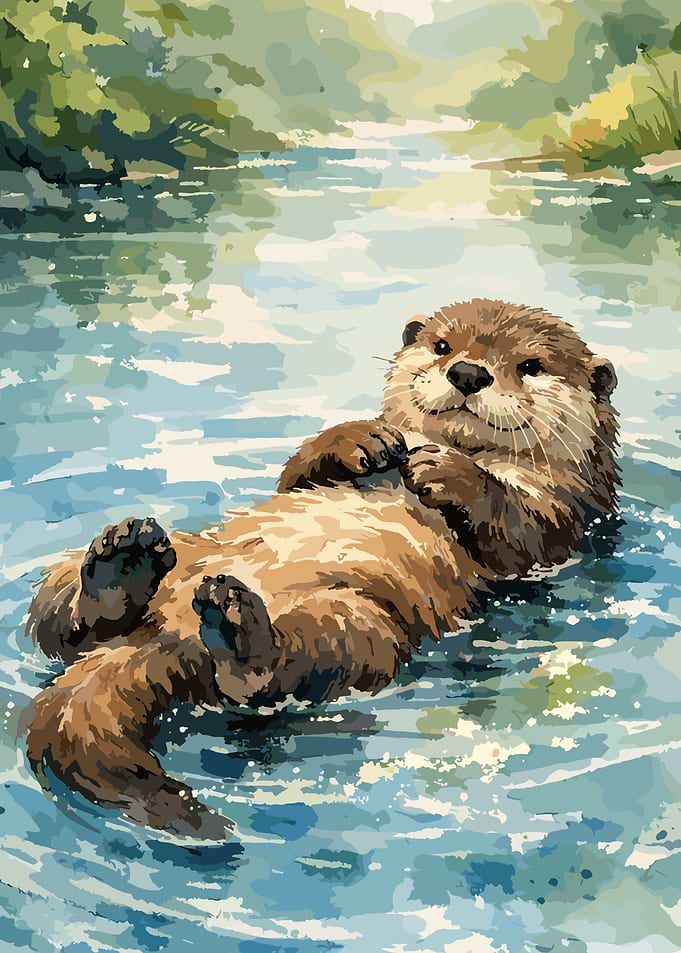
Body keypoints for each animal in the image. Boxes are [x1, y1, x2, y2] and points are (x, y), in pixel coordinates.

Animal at [25, 299, 619, 839]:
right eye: (442, 346)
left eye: (531, 365)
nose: (468, 374)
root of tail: (168, 637)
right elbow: (295, 475)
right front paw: (358, 438)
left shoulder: (566, 511)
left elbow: (517, 531)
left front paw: (450, 472)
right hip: (154, 558)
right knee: (60, 625)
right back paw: (119, 561)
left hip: (355, 625)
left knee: (274, 675)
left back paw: (237, 627)